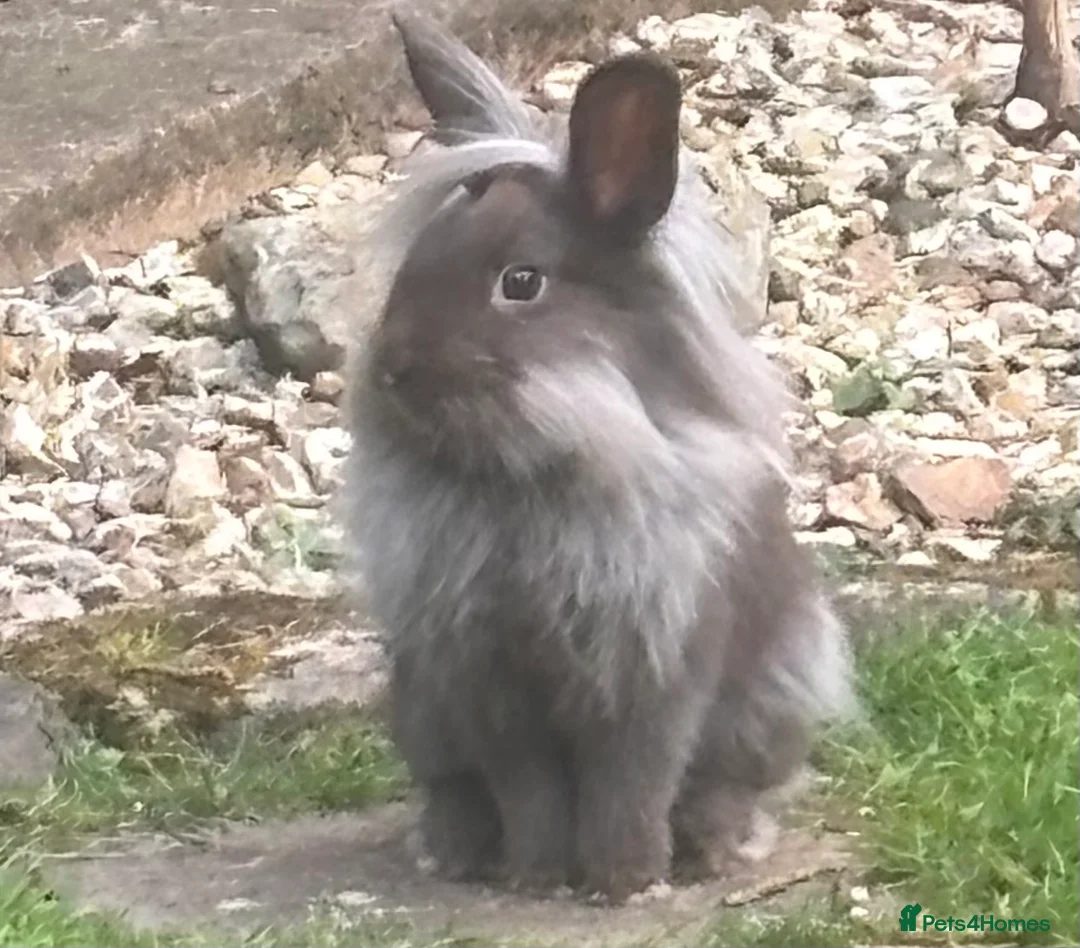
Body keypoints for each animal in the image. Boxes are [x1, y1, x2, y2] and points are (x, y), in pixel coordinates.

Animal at [343, 10, 853, 903]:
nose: (394, 372)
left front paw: (624, 880)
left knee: (722, 787)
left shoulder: (656, 667)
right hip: (420, 713)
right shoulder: (488, 679)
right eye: (413, 266)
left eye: (521, 283)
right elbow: (530, 788)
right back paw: (455, 854)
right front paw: (540, 876)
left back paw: (722, 848)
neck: (532, 479)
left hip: (768, 703)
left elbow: (633, 780)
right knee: (457, 793)